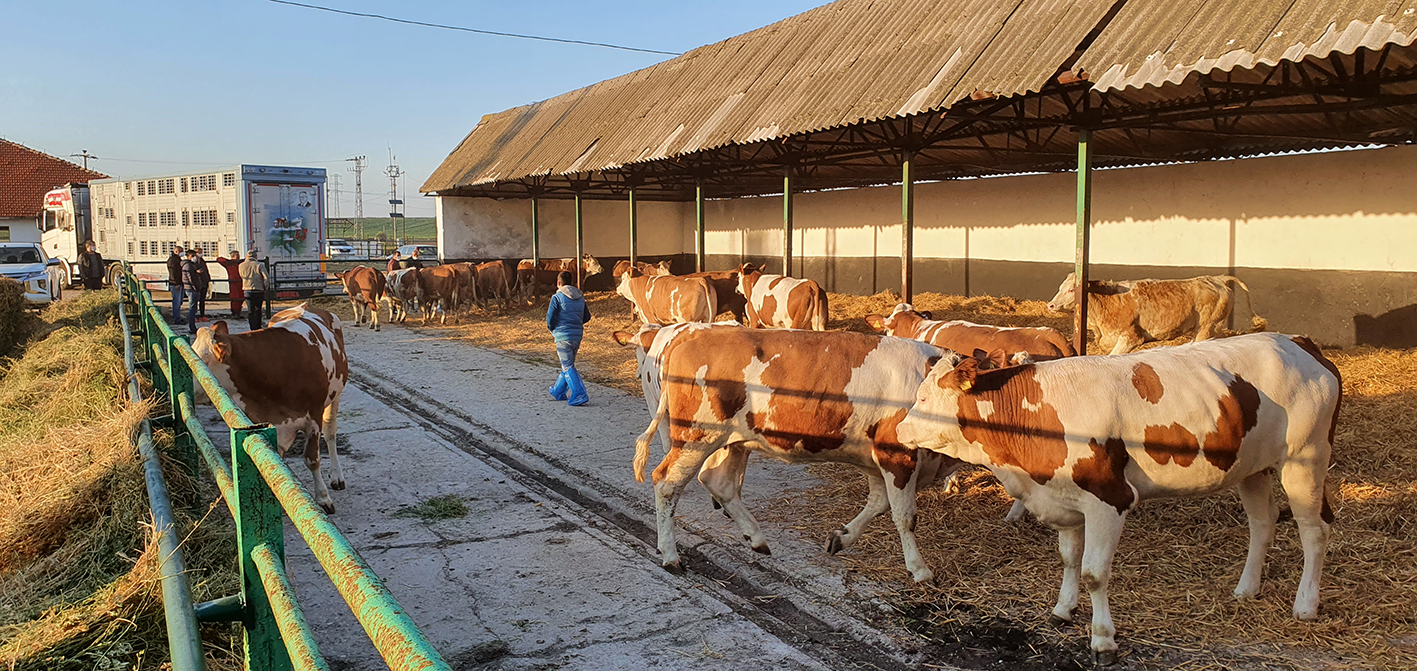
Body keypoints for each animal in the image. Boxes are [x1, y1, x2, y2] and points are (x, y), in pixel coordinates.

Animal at [189, 305, 349, 512]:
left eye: (202, 360)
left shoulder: (314, 417)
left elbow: (312, 459)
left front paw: (322, 497)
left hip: (335, 397)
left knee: (330, 433)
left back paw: (337, 476)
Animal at [631, 325, 963, 583]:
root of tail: (688, 338)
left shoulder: (875, 461)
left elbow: (879, 504)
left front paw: (841, 537)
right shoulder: (897, 455)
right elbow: (905, 516)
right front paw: (919, 569)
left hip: (732, 441)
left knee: (719, 482)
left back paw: (756, 538)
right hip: (696, 436)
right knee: (667, 482)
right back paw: (670, 554)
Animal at [895, 332, 1337, 662]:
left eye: (923, 398)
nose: (897, 430)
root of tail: (1301, 343)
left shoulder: (1109, 500)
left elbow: (1094, 573)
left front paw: (1103, 640)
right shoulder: (1064, 497)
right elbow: (1069, 559)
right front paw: (1063, 609)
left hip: (1305, 460)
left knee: (1314, 531)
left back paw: (1306, 605)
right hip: (1253, 468)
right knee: (1262, 522)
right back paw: (1247, 589)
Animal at [1042, 273, 1263, 356]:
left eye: (1072, 289)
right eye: (1061, 287)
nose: (1051, 305)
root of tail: (1216, 278)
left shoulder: (1130, 337)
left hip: (1207, 328)